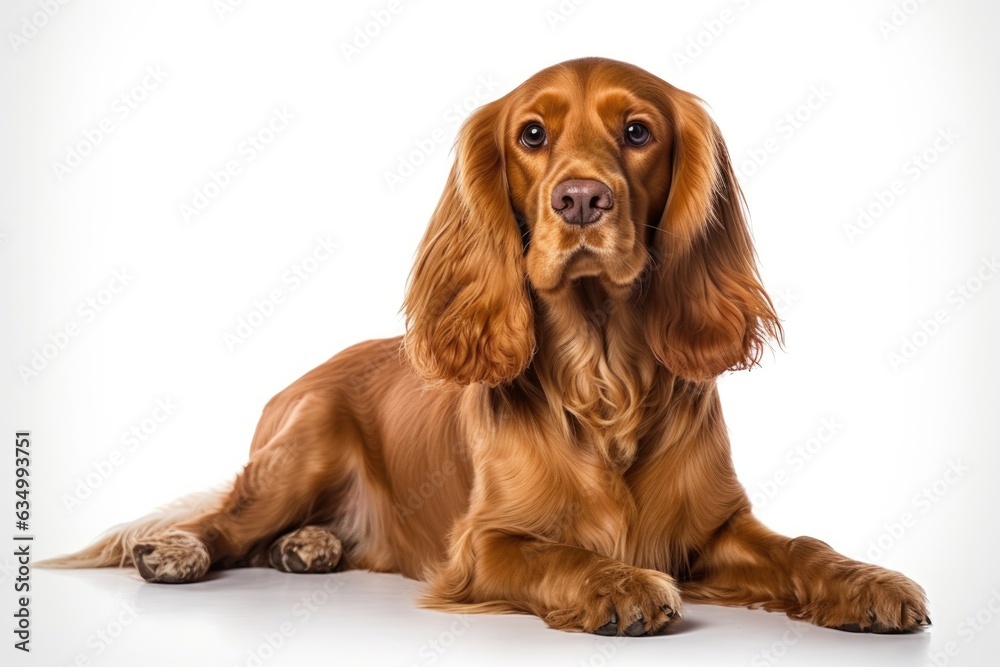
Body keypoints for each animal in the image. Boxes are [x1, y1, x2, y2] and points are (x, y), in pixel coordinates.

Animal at [41, 57, 928, 636]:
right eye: (531, 133)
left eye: (639, 131)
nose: (581, 198)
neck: (604, 377)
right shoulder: (483, 544)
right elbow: (557, 557)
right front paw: (617, 583)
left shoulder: (717, 530)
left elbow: (804, 546)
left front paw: (867, 581)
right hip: (303, 446)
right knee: (226, 521)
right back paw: (180, 548)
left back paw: (311, 543)